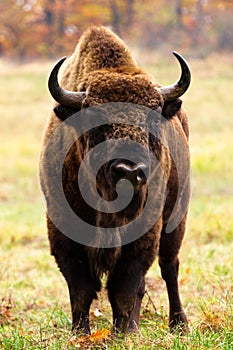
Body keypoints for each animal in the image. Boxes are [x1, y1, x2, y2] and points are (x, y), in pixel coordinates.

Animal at [38, 26, 191, 334]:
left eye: (153, 114)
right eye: (94, 117)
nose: (129, 170)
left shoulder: (145, 233)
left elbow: (125, 287)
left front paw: (123, 332)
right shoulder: (63, 234)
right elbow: (81, 288)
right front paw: (81, 333)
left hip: (176, 218)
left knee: (169, 267)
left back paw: (178, 324)